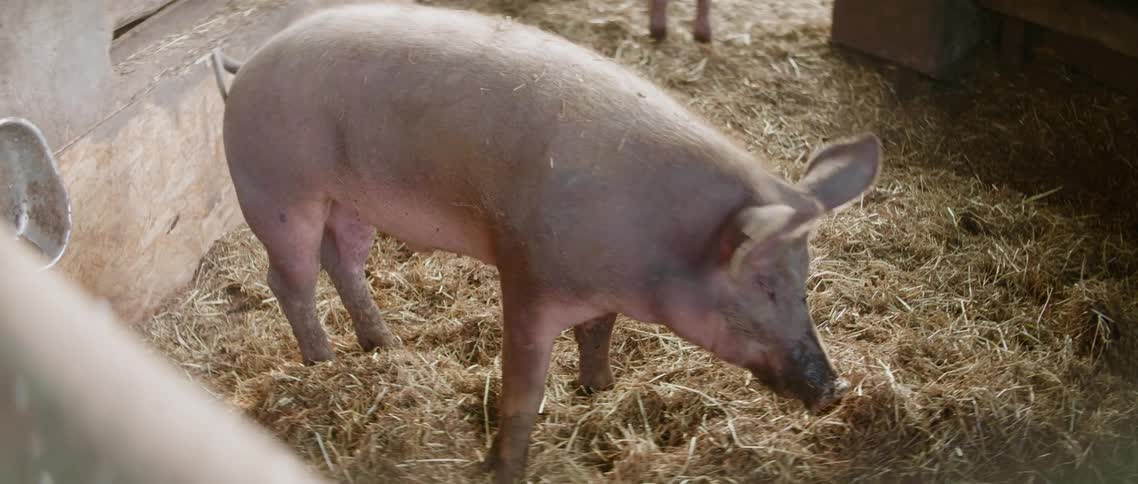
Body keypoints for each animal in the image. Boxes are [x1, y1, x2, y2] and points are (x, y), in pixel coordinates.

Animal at [211, 4, 880, 482]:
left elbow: (598, 333)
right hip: (275, 190)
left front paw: (598, 389)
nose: (834, 389)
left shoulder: (604, 293)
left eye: (805, 282)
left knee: (343, 260)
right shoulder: (529, 275)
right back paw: (323, 362)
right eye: (763, 286)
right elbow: (524, 385)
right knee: (289, 278)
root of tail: (244, 69)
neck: (652, 253)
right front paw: (504, 467)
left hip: (349, 201)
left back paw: (384, 344)